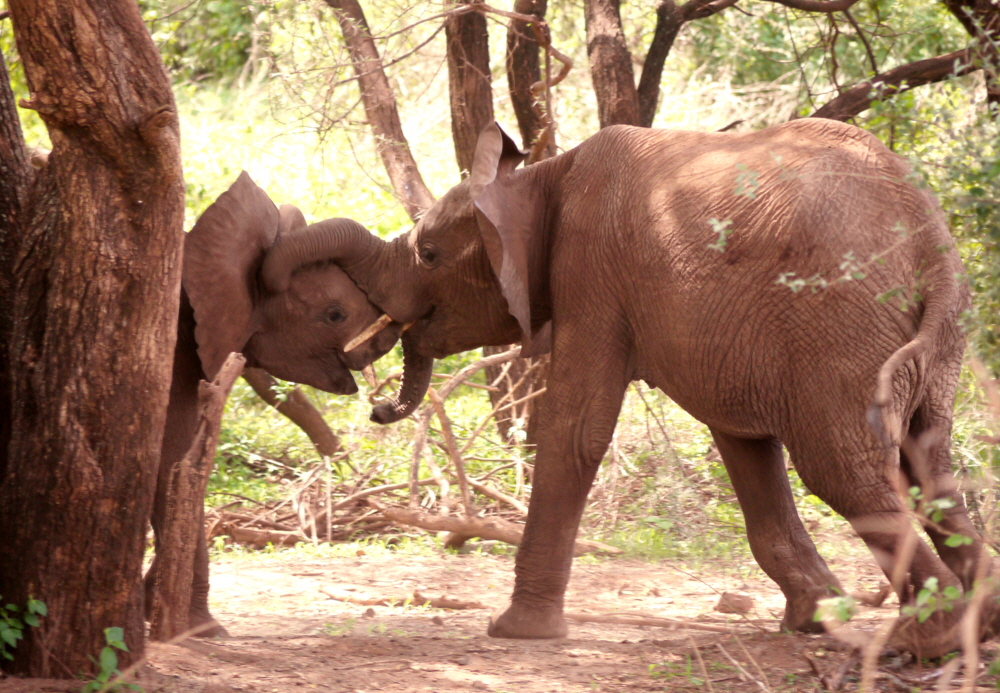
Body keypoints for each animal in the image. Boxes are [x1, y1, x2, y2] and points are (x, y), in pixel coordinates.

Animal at [145, 172, 402, 632]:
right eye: (334, 314)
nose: (382, 408)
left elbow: (184, 464)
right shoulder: (173, 353)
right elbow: (171, 459)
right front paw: (199, 630)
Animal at [260, 119, 984, 656]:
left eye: (430, 254)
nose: (377, 404)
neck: (541, 175)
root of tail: (932, 244)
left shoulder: (590, 271)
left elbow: (576, 428)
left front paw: (515, 632)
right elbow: (744, 443)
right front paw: (812, 618)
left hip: (840, 324)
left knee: (845, 471)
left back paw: (926, 641)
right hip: (916, 340)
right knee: (931, 464)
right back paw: (980, 623)